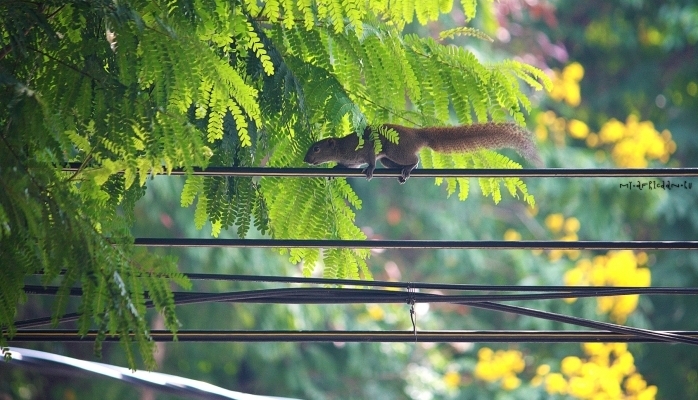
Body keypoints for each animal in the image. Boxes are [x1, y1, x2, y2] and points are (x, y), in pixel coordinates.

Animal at [304, 122, 540, 184]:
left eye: (316, 148)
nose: (306, 159)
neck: (341, 147)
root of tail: (418, 135)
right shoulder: (352, 159)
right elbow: (348, 166)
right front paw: (335, 169)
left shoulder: (366, 149)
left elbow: (369, 160)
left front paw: (370, 170)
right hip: (390, 160)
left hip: (397, 150)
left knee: (414, 159)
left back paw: (410, 168)